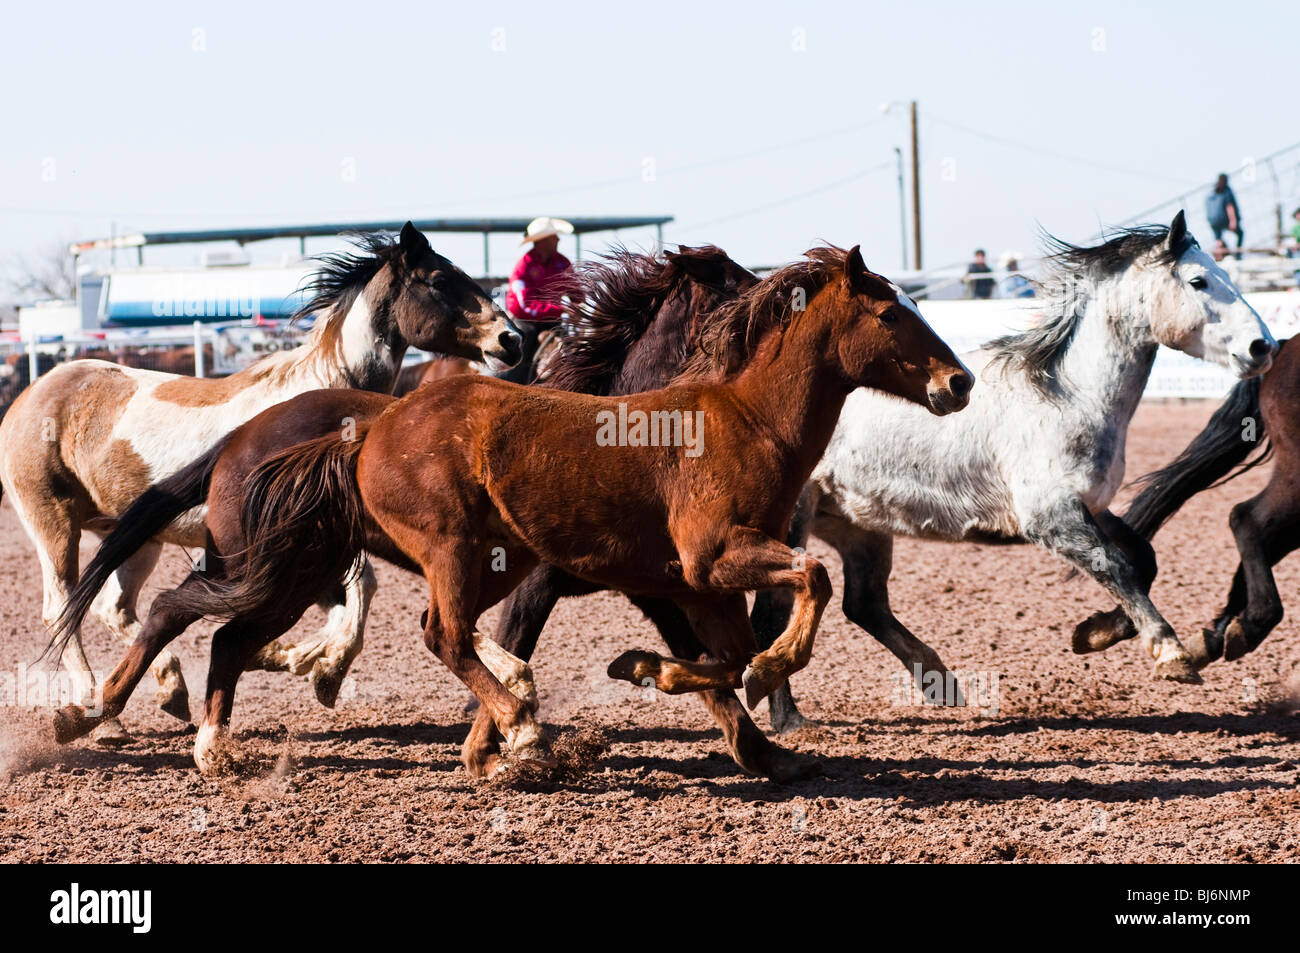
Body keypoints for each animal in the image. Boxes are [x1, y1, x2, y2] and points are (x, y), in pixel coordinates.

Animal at [71, 245, 972, 774]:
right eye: (889, 310)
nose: (958, 380)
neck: (739, 418)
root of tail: (364, 435)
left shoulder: (687, 583)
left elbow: (722, 657)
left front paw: (677, 688)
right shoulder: (711, 557)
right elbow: (806, 583)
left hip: (302, 567)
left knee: (224, 631)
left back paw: (203, 739)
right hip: (426, 551)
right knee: (430, 631)